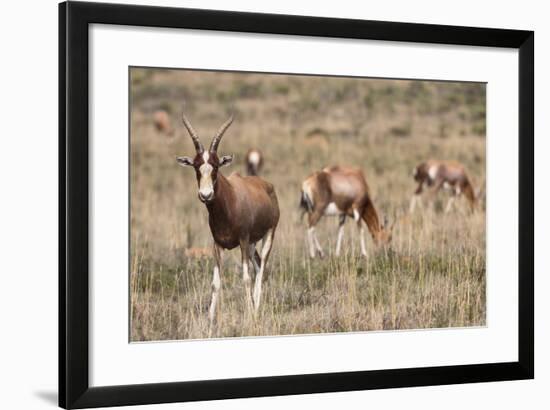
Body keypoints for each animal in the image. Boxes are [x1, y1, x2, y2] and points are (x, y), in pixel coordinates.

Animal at [177, 111, 280, 324]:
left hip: (267, 235)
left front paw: (249, 317)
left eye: (216, 166)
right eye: (196, 166)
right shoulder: (217, 245)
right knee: (258, 265)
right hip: (252, 244)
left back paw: (255, 310)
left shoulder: (242, 240)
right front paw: (210, 321)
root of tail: (266, 185)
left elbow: (246, 278)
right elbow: (215, 283)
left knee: (262, 269)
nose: (206, 195)